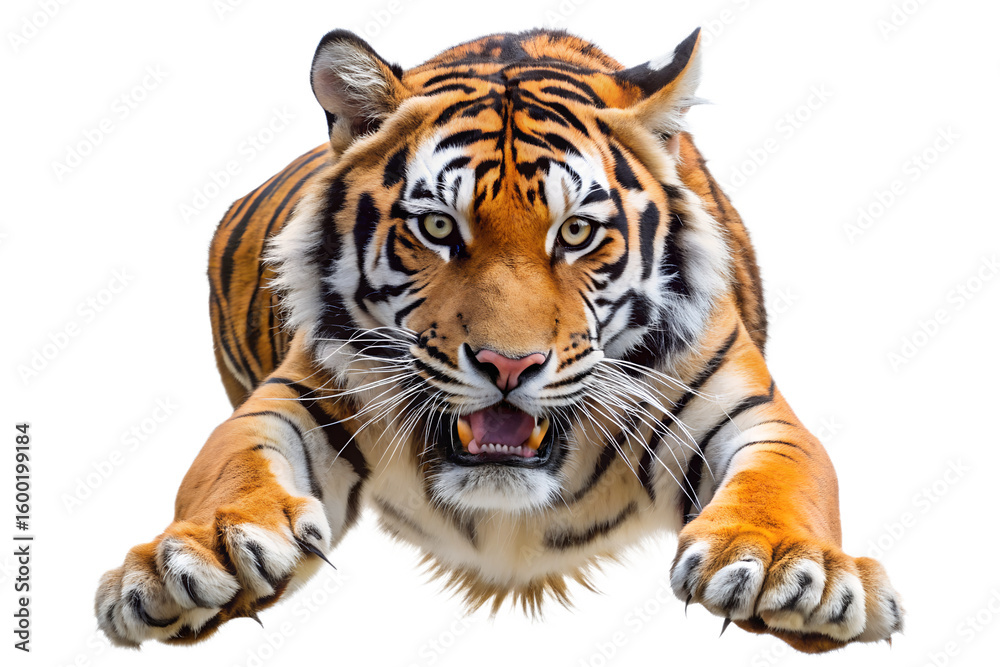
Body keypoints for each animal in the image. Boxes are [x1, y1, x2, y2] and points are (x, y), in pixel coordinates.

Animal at [95, 27, 903, 652]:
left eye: (576, 232)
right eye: (436, 227)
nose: (508, 365)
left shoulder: (745, 407)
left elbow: (785, 479)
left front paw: (788, 568)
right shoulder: (296, 396)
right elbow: (227, 466)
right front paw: (195, 557)